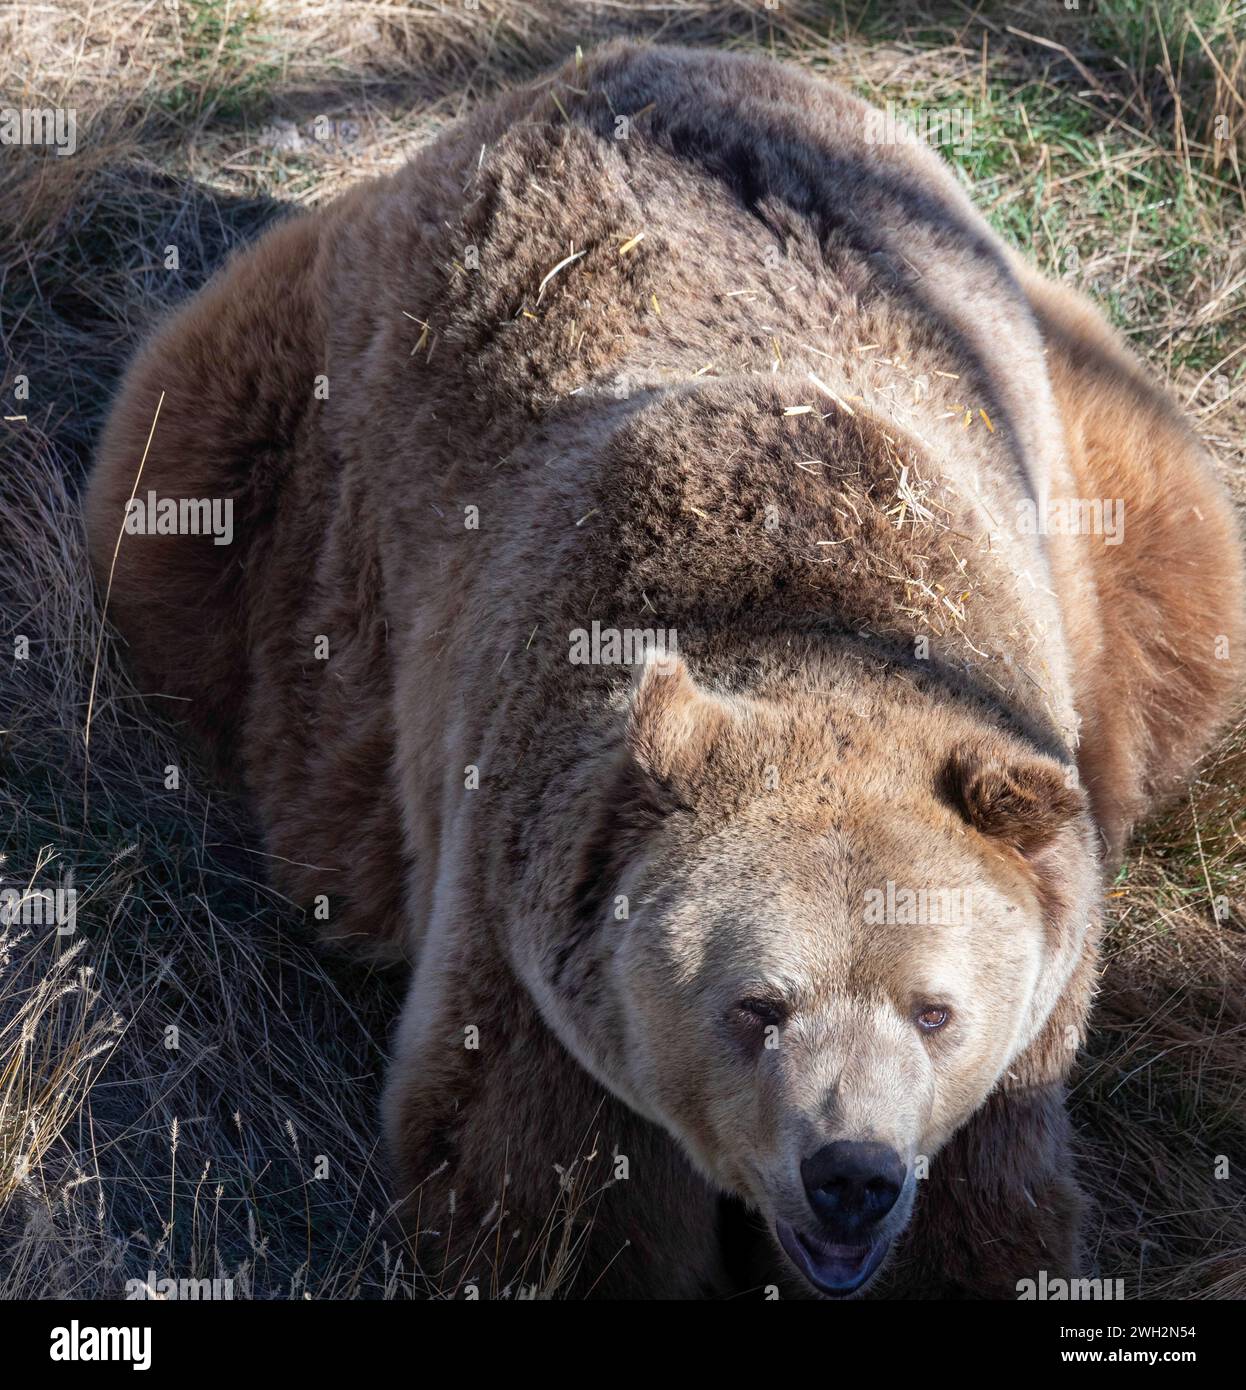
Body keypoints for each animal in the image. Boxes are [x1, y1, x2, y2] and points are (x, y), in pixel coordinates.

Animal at [87, 43, 1246, 1301]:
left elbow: (982, 1208)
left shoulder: (1028, 1005)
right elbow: (544, 1188)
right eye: (756, 1005)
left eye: (934, 1010)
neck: (820, 621)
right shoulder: (532, 931)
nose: (849, 1174)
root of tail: (616, 60)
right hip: (288, 440)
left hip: (1086, 434)